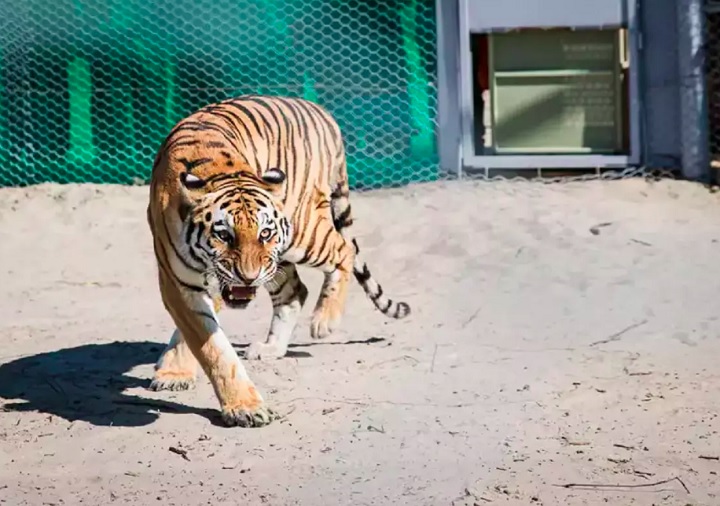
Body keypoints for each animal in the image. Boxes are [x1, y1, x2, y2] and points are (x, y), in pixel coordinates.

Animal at [146, 94, 411, 427]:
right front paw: (178, 373)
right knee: (295, 291)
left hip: (302, 234)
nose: (248, 277)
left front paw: (244, 408)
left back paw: (324, 321)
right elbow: (208, 343)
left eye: (264, 232)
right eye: (224, 235)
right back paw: (272, 347)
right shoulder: (179, 281)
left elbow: (209, 345)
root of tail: (321, 111)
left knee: (343, 250)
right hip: (278, 260)